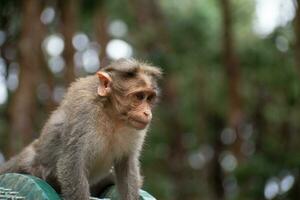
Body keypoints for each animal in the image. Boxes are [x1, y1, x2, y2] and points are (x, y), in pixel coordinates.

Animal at [0, 57, 162, 200]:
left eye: (149, 98)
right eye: (139, 96)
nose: (147, 113)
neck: (112, 115)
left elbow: (126, 164)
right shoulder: (84, 110)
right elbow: (72, 162)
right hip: (34, 168)